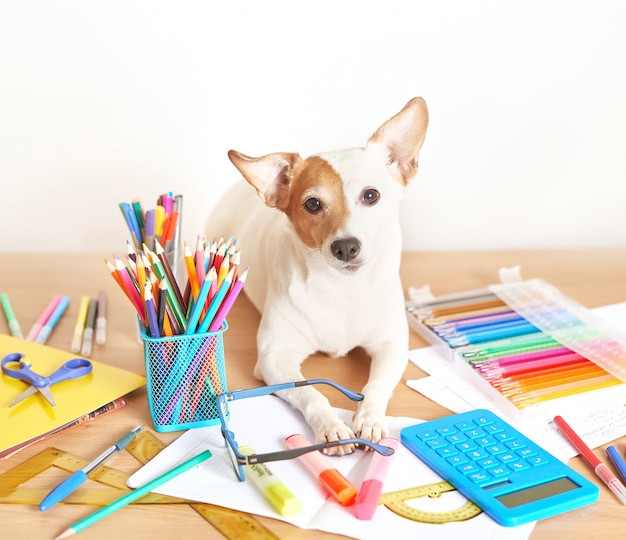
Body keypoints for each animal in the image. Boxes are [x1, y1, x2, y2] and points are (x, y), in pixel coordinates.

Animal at [207, 96, 426, 452]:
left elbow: (376, 385)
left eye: (371, 195)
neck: (342, 288)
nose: (346, 247)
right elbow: (312, 392)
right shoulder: (274, 358)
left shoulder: (391, 346)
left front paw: (370, 418)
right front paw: (331, 427)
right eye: (312, 204)